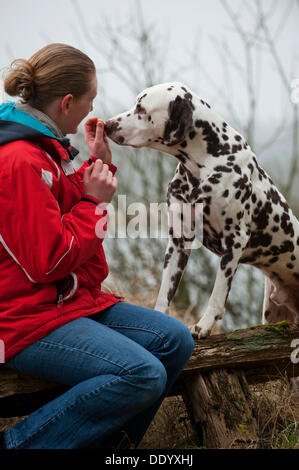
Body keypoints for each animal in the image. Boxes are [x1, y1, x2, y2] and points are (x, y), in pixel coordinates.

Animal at [105, 81, 299, 338]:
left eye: (141, 108)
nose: (107, 124)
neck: (205, 163)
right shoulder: (178, 242)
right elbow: (164, 293)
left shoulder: (234, 241)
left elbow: (217, 294)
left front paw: (204, 325)